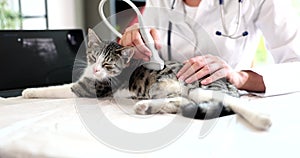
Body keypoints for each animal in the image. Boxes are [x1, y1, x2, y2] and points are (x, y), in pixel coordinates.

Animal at [22, 28, 240, 119]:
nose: (96, 69)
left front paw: (30, 91)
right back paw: (145, 107)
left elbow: (59, 88)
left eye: (108, 64)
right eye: (93, 57)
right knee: (182, 101)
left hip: (192, 86)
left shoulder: (92, 87)